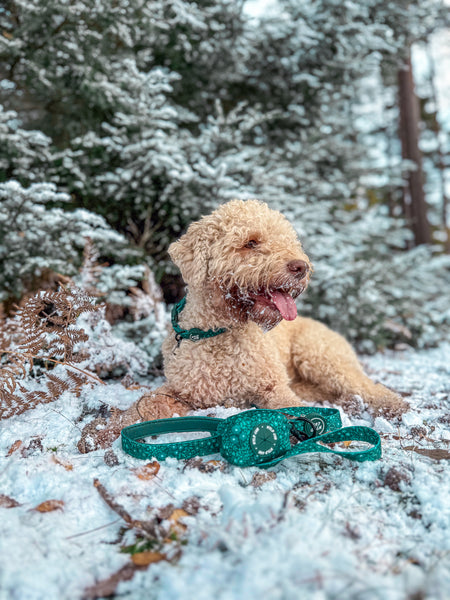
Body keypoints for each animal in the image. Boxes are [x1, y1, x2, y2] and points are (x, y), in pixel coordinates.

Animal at [79, 199, 406, 452]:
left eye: (290, 241)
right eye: (251, 242)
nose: (301, 267)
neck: (220, 332)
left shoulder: (273, 388)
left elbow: (287, 405)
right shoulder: (180, 392)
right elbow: (146, 405)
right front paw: (103, 431)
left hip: (320, 357)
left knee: (367, 385)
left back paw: (392, 405)